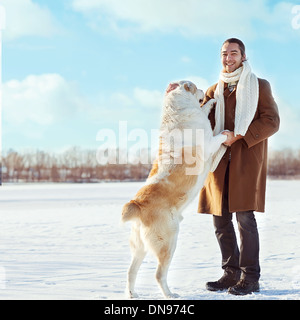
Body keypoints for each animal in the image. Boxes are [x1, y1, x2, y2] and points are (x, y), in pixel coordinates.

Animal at [120, 80, 226, 300]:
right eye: (194, 86)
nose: (203, 90)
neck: (176, 109)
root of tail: (138, 205)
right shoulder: (209, 141)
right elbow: (219, 135)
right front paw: (228, 132)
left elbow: (204, 109)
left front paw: (210, 102)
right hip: (168, 242)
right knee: (159, 274)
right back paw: (170, 294)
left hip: (139, 247)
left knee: (130, 272)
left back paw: (133, 295)